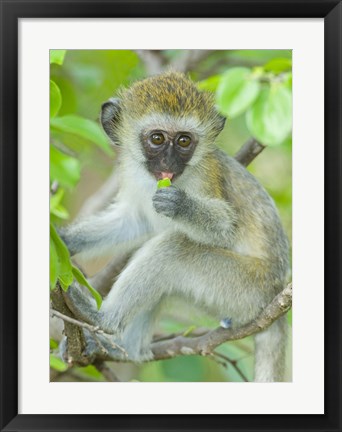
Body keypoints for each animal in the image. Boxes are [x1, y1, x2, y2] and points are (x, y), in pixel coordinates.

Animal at [60, 71, 290, 384]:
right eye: (157, 138)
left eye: (183, 141)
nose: (168, 162)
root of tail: (275, 293)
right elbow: (134, 221)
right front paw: (64, 239)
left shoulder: (205, 175)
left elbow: (226, 227)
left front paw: (182, 206)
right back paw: (124, 347)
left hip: (246, 290)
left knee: (173, 248)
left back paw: (104, 321)